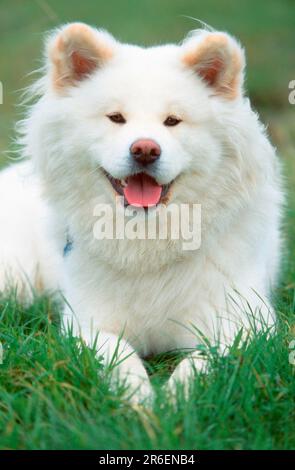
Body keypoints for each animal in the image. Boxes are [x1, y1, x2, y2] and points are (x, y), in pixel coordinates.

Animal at [0, 23, 284, 404]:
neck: (148, 239)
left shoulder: (246, 322)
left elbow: (202, 359)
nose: (145, 149)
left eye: (173, 121)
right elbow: (120, 355)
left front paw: (176, 399)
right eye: (116, 118)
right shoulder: (87, 324)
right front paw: (139, 399)